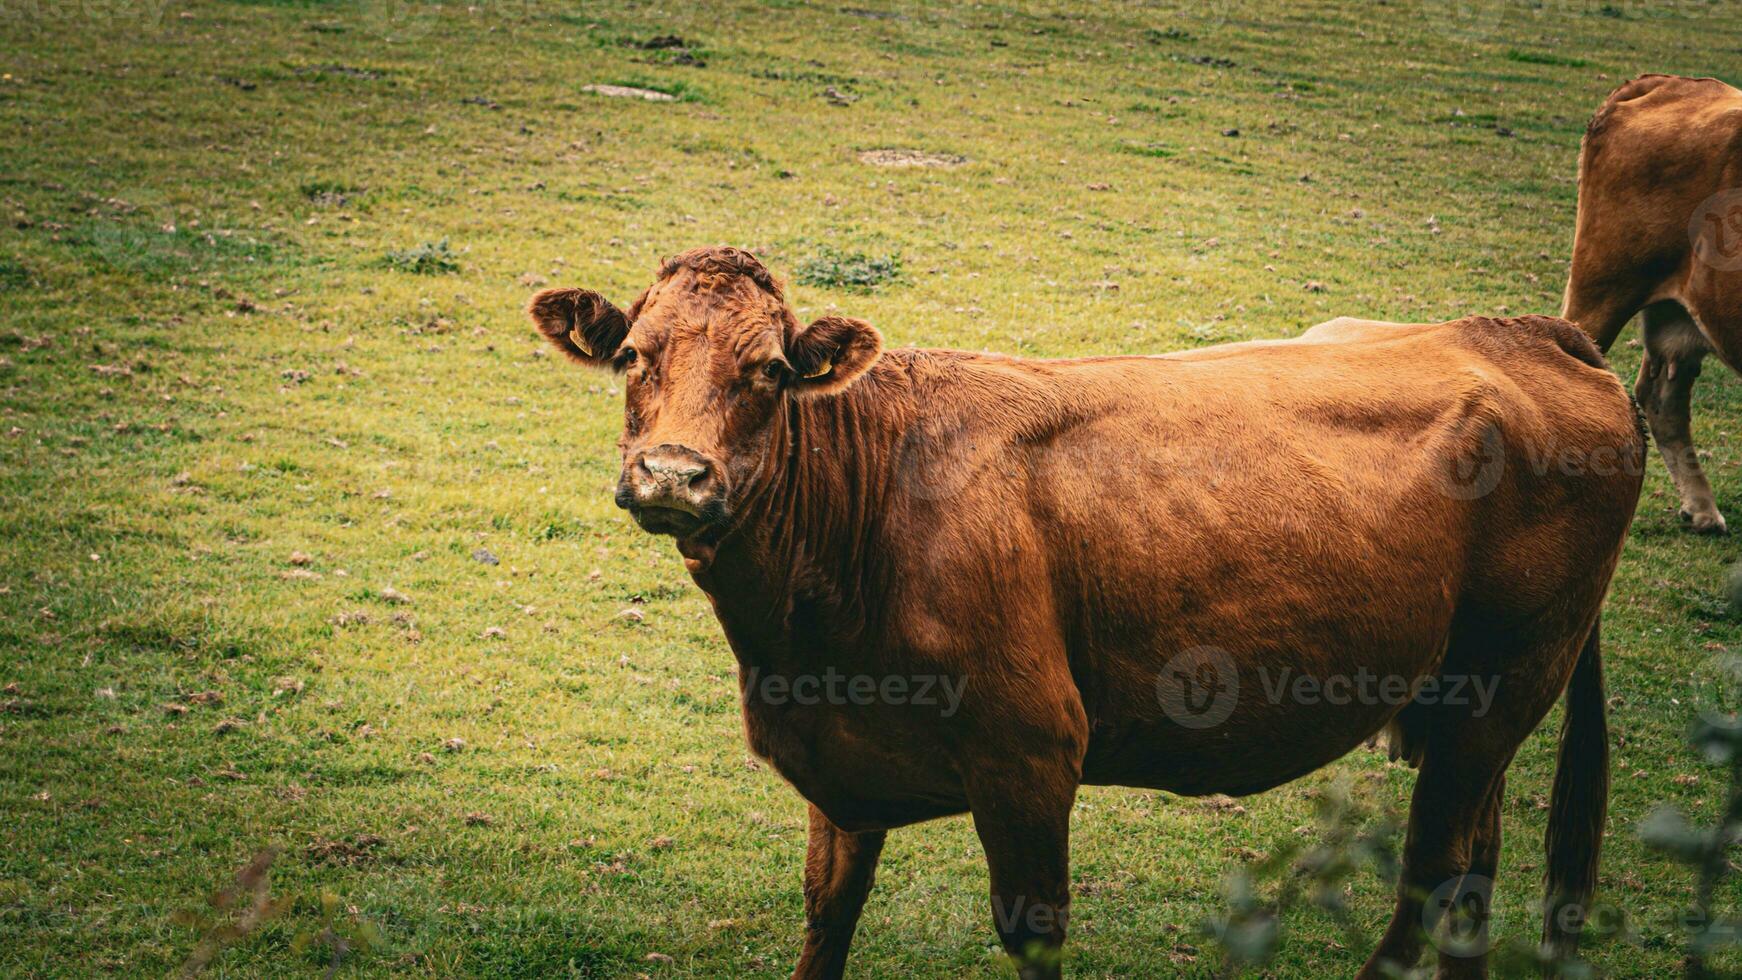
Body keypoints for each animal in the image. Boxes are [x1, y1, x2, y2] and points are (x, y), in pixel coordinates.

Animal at [522, 248, 1637, 974]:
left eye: (766, 371)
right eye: (634, 358)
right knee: (1473, 866)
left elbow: (1032, 930)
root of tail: (1527, 331)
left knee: (1433, 867)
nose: (673, 474)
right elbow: (826, 915)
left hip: (1511, 677)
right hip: (1468, 704)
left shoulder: (1029, 753)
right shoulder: (839, 768)